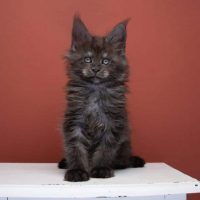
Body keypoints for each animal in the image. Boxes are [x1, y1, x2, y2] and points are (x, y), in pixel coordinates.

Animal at [58, 15, 145, 181]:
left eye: (105, 61)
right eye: (88, 59)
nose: (96, 69)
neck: (95, 90)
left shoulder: (113, 122)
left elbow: (106, 149)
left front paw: (100, 169)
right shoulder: (74, 121)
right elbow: (75, 148)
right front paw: (77, 171)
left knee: (123, 160)